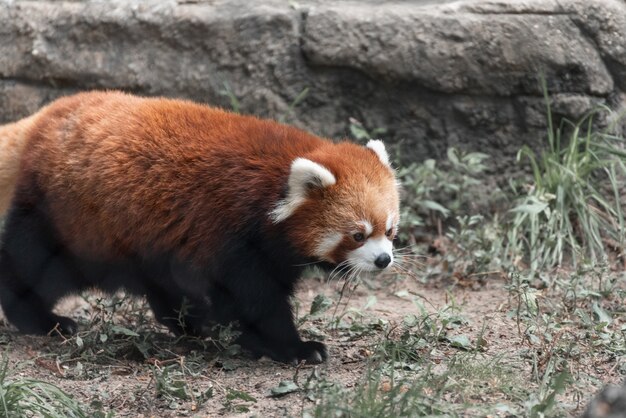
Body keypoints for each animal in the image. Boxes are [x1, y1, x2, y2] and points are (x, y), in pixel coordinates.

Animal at [0, 91, 398, 362]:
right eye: (358, 235)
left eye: (390, 231)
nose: (384, 260)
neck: (276, 186)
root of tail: (46, 116)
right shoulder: (235, 235)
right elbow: (253, 300)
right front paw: (295, 347)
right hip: (70, 220)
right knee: (34, 264)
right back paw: (41, 320)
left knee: (160, 282)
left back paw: (194, 324)